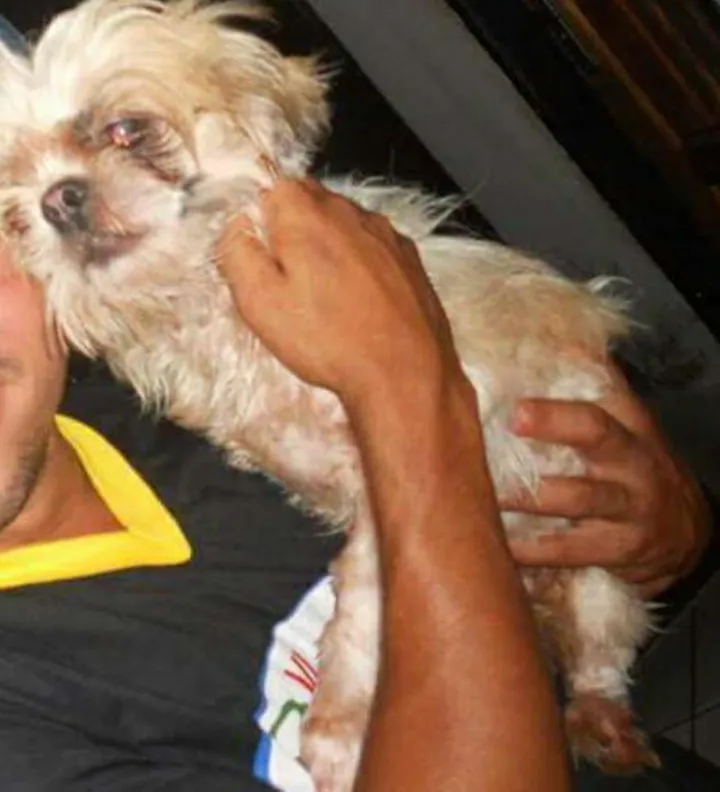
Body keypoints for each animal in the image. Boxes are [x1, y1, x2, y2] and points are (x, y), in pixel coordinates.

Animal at [0, 0, 657, 787]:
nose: (57, 198)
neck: (207, 304)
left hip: (596, 578)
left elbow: (368, 606)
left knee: (601, 653)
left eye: (126, 131)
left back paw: (603, 723)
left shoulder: (423, 451)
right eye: (10, 214)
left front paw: (342, 730)